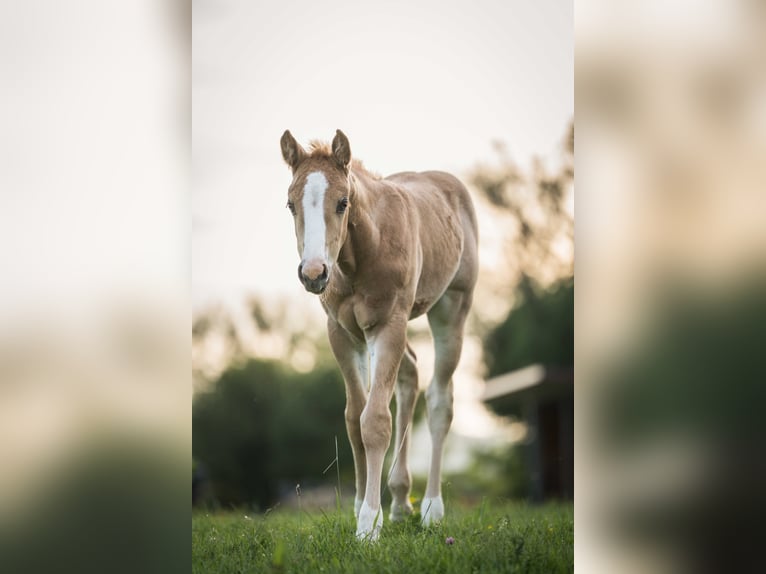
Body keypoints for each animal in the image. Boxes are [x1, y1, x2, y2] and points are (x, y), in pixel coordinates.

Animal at [280, 129, 478, 541]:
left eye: (343, 202)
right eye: (290, 204)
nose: (314, 273)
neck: (360, 254)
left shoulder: (388, 326)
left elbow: (374, 422)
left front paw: (369, 524)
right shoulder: (342, 334)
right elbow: (354, 418)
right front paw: (360, 508)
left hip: (451, 310)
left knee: (439, 400)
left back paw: (431, 508)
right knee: (410, 374)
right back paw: (401, 502)